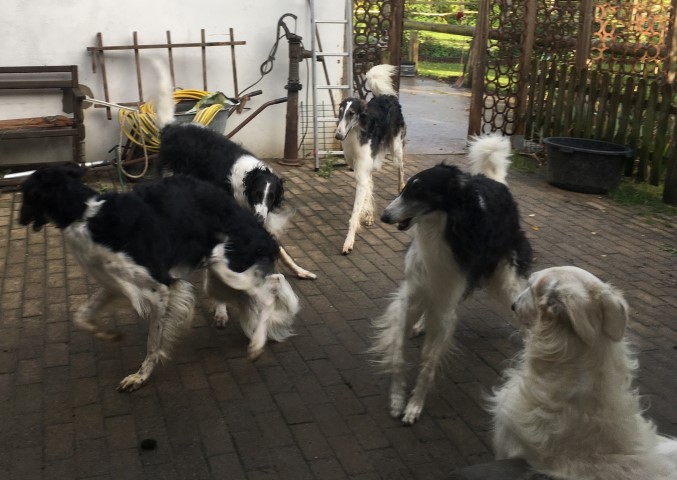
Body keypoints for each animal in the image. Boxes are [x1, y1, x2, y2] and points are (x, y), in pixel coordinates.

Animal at [19, 165, 298, 391]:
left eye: (26, 194)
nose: (20, 220)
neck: (85, 214)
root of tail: (259, 228)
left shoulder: (160, 287)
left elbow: (153, 344)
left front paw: (140, 377)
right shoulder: (114, 284)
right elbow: (82, 316)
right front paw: (108, 335)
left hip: (226, 266)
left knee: (272, 287)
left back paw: (257, 344)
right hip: (217, 281)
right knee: (263, 288)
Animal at [334, 63, 406, 254]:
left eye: (352, 113)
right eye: (340, 112)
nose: (338, 136)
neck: (355, 133)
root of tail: (388, 96)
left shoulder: (362, 172)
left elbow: (354, 214)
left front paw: (348, 242)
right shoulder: (360, 169)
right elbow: (368, 190)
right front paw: (368, 214)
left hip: (396, 149)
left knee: (401, 168)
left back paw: (401, 186)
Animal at [372, 134, 532, 424]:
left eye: (419, 192)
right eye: (405, 188)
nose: (384, 216)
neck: (441, 230)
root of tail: (497, 182)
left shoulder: (447, 296)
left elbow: (429, 360)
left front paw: (414, 406)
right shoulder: (413, 291)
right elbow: (399, 353)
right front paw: (398, 399)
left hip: (506, 279)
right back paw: (421, 324)